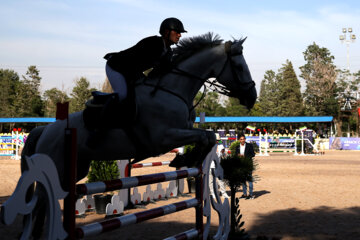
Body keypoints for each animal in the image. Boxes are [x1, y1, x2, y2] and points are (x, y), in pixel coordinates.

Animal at [20, 31, 256, 238]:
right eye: (238, 66)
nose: (252, 97)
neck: (172, 91)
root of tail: (45, 130)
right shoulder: (163, 138)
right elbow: (205, 137)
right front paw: (184, 158)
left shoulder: (184, 130)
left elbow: (209, 137)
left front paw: (186, 158)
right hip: (57, 167)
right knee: (41, 201)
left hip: (77, 167)